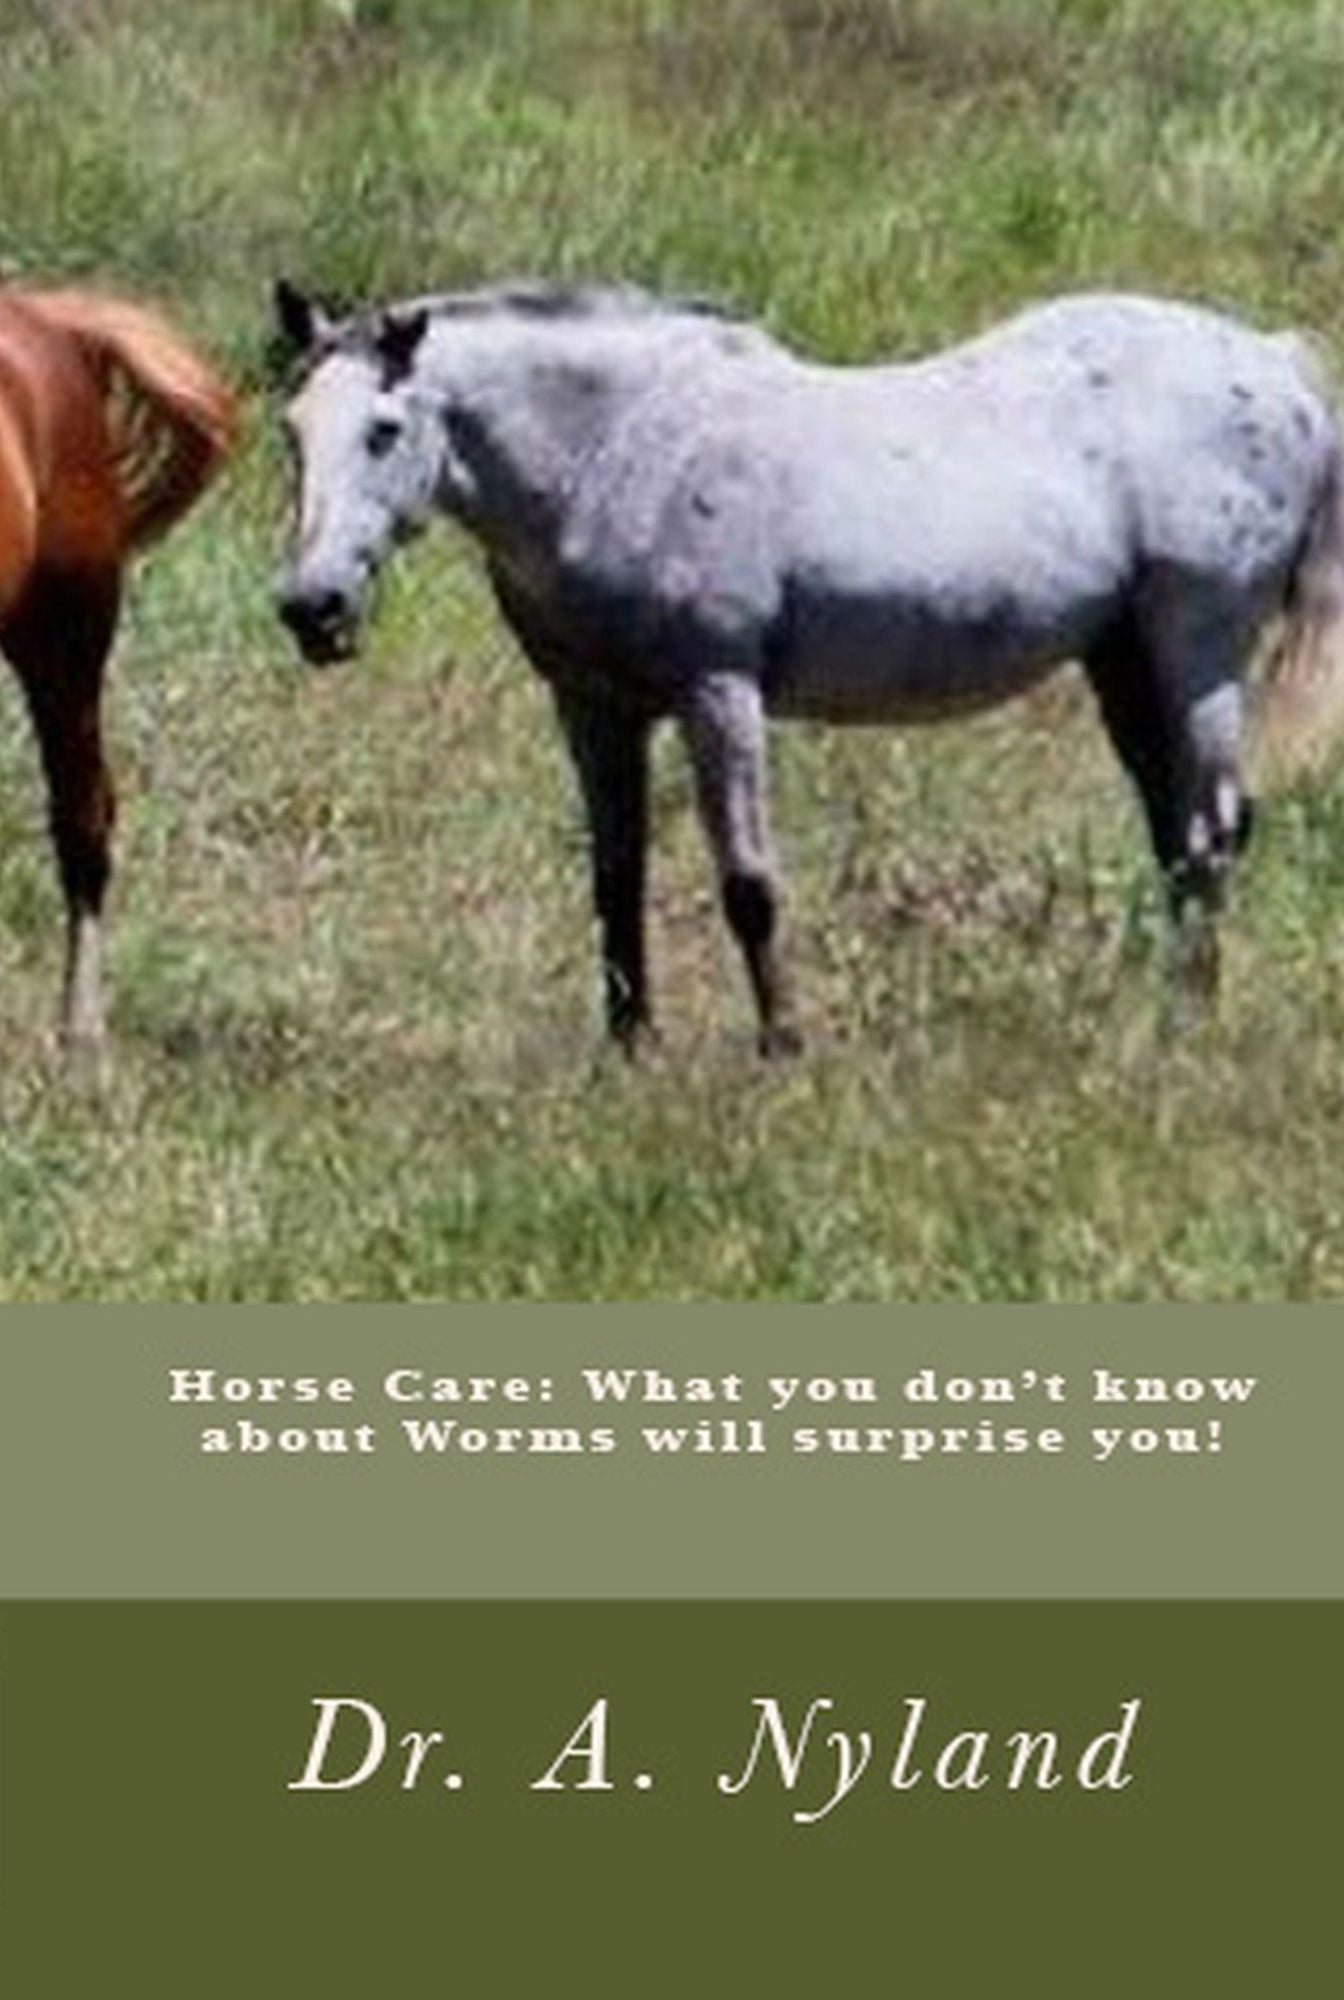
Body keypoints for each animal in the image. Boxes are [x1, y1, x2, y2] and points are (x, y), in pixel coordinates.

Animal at [272, 277, 1344, 1055]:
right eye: (292, 432)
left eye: (384, 430)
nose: (310, 609)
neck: (619, 450)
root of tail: (1277, 362)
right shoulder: (592, 706)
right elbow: (614, 879)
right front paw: (628, 1053)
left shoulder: (718, 690)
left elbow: (750, 884)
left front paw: (783, 1048)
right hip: (1122, 661)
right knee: (1178, 839)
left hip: (1199, 650)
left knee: (1212, 832)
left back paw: (1185, 1030)